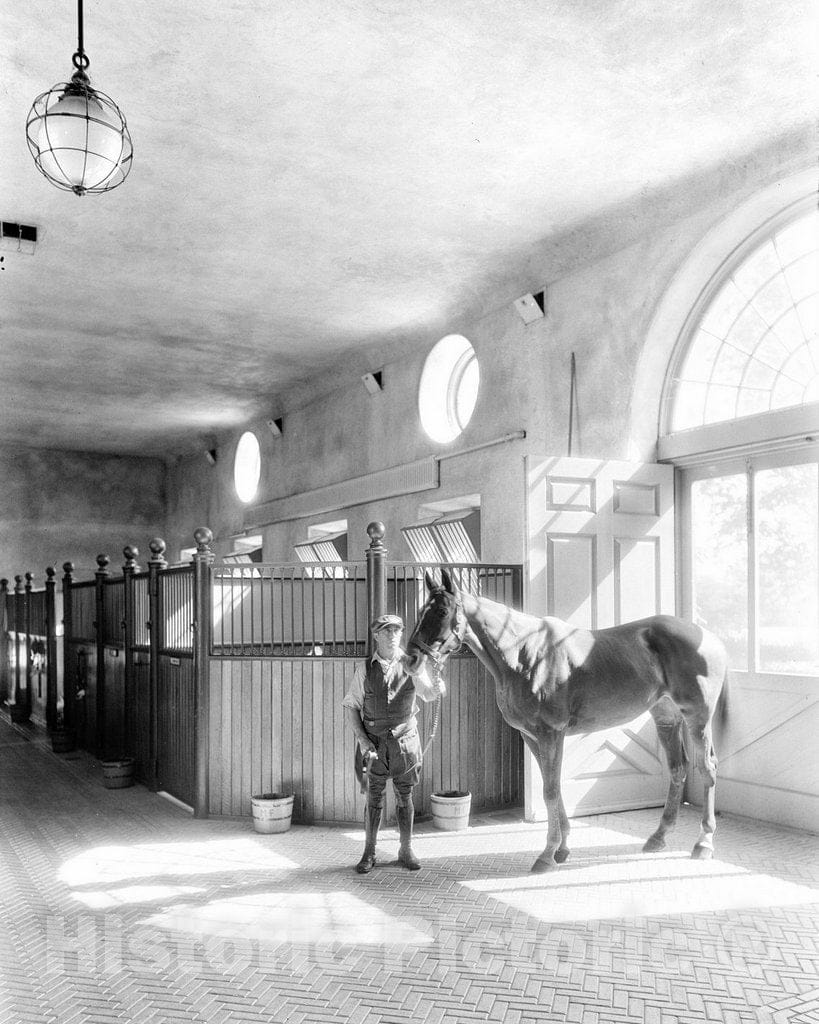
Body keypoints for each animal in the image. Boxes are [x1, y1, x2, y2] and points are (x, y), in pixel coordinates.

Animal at [403, 569, 728, 872]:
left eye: (441, 611)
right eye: (421, 611)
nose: (411, 660)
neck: (524, 655)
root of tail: (709, 638)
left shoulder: (551, 733)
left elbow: (549, 791)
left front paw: (546, 855)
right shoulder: (531, 736)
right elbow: (554, 788)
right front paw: (562, 849)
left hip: (697, 717)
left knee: (707, 768)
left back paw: (704, 843)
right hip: (666, 718)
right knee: (677, 769)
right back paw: (658, 837)